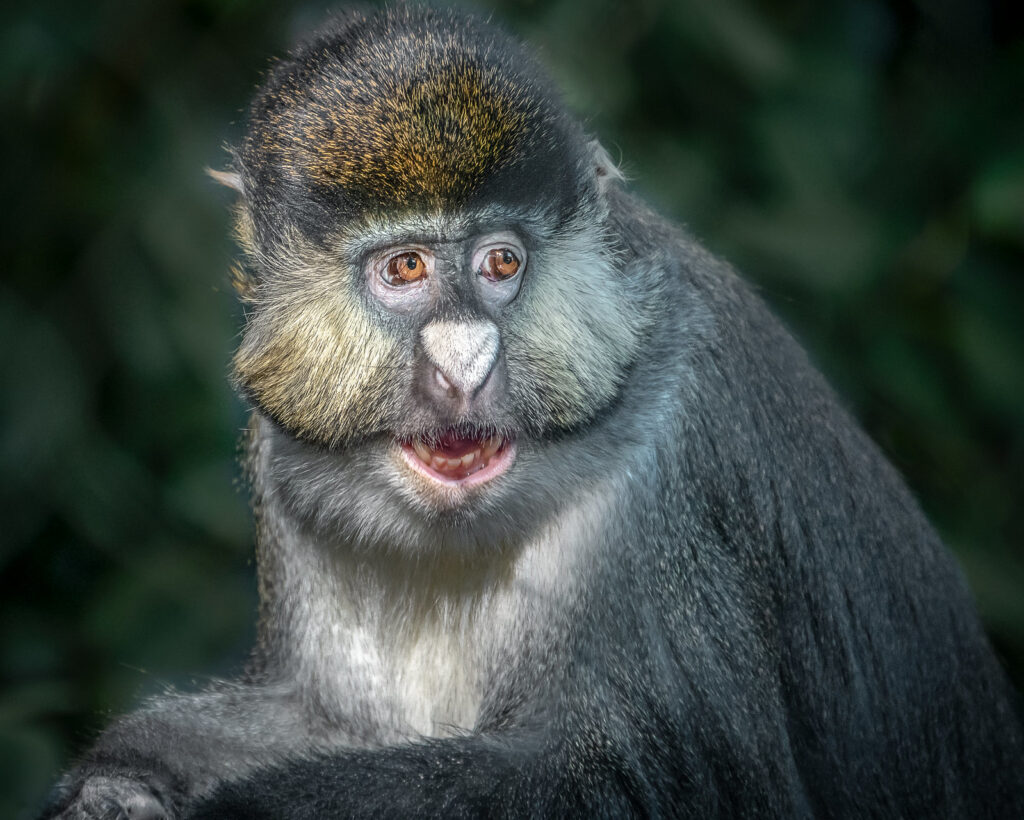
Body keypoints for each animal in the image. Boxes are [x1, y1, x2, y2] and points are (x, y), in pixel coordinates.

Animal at [41, 5, 1024, 819]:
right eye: (406, 268)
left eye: (501, 263)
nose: (466, 367)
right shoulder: (285, 478)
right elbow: (321, 716)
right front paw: (124, 780)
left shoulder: (669, 454)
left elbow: (646, 778)